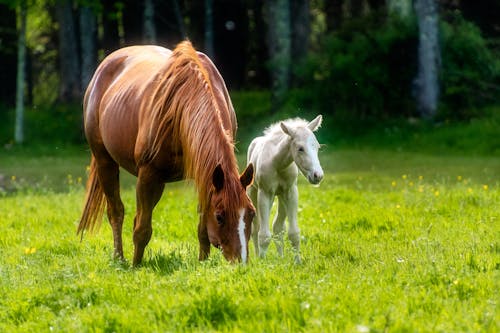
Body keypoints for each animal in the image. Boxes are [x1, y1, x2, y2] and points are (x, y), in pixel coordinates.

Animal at [81, 40, 258, 264]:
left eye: (251, 213)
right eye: (220, 216)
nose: (240, 261)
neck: (181, 107)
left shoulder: (205, 176)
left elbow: (202, 230)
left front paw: (202, 263)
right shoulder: (148, 174)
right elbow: (142, 230)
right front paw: (136, 266)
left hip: (159, 182)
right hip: (106, 162)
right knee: (116, 212)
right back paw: (120, 259)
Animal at [247, 114, 324, 262]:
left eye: (317, 147)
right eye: (300, 148)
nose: (318, 175)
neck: (278, 163)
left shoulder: (291, 192)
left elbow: (293, 233)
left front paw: (298, 262)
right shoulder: (265, 193)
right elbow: (264, 235)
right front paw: (262, 261)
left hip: (281, 196)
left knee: (278, 227)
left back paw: (281, 257)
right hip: (253, 193)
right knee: (256, 226)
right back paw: (257, 255)